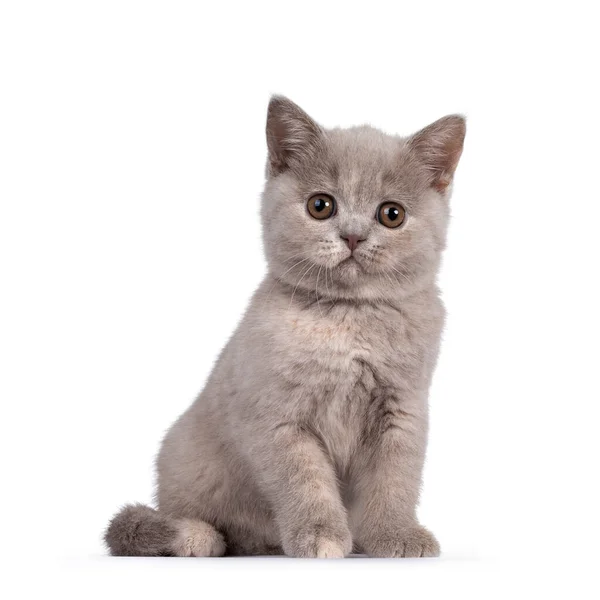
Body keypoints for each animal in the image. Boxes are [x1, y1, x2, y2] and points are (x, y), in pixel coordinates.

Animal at [105, 95, 466, 556]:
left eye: (392, 214)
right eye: (320, 205)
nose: (352, 236)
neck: (349, 320)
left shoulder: (402, 409)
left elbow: (395, 479)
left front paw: (396, 534)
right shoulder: (277, 416)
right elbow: (304, 483)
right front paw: (320, 535)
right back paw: (198, 536)